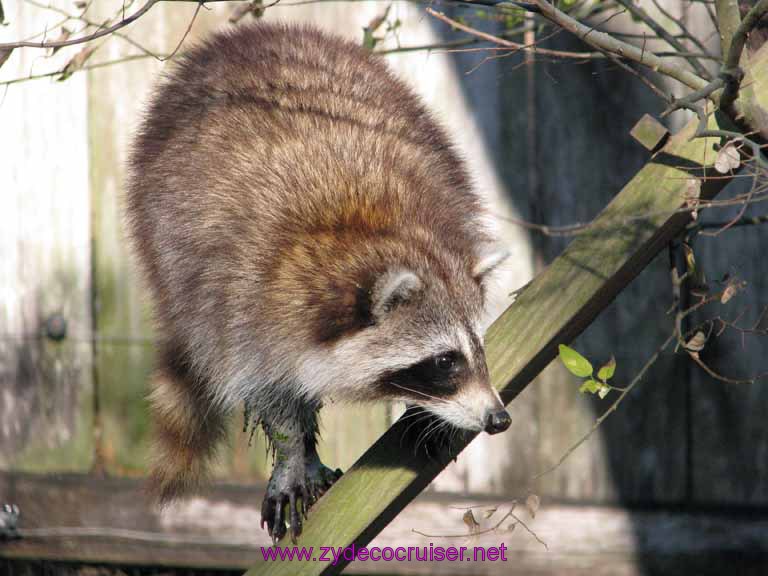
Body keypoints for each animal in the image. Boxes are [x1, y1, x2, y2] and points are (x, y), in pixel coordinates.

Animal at [124, 21, 510, 540]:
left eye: (477, 347)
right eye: (445, 360)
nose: (498, 418)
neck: (364, 233)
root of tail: (254, 33)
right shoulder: (242, 294)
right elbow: (267, 386)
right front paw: (293, 450)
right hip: (163, 233)